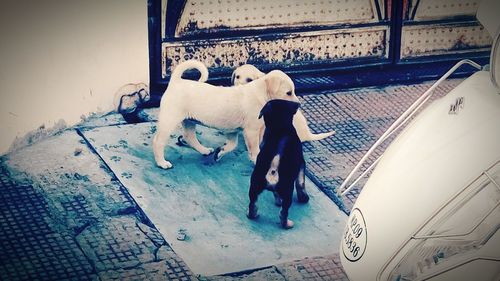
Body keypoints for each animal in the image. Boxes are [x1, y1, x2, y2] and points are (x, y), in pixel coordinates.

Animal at [152, 59, 298, 168]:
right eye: (288, 93)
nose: (298, 105)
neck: (261, 94)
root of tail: (176, 81)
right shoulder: (251, 131)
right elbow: (255, 150)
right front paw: (257, 162)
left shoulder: (232, 131)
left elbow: (232, 146)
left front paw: (220, 153)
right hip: (170, 120)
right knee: (158, 141)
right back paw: (161, 163)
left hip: (189, 120)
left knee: (190, 137)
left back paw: (205, 150)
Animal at [246, 98, 308, 228]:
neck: (280, 127)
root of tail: (273, 169)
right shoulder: (301, 163)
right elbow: (301, 182)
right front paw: (304, 198)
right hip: (288, 190)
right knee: (283, 213)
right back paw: (287, 224)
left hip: (254, 186)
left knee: (253, 204)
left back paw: (252, 214)